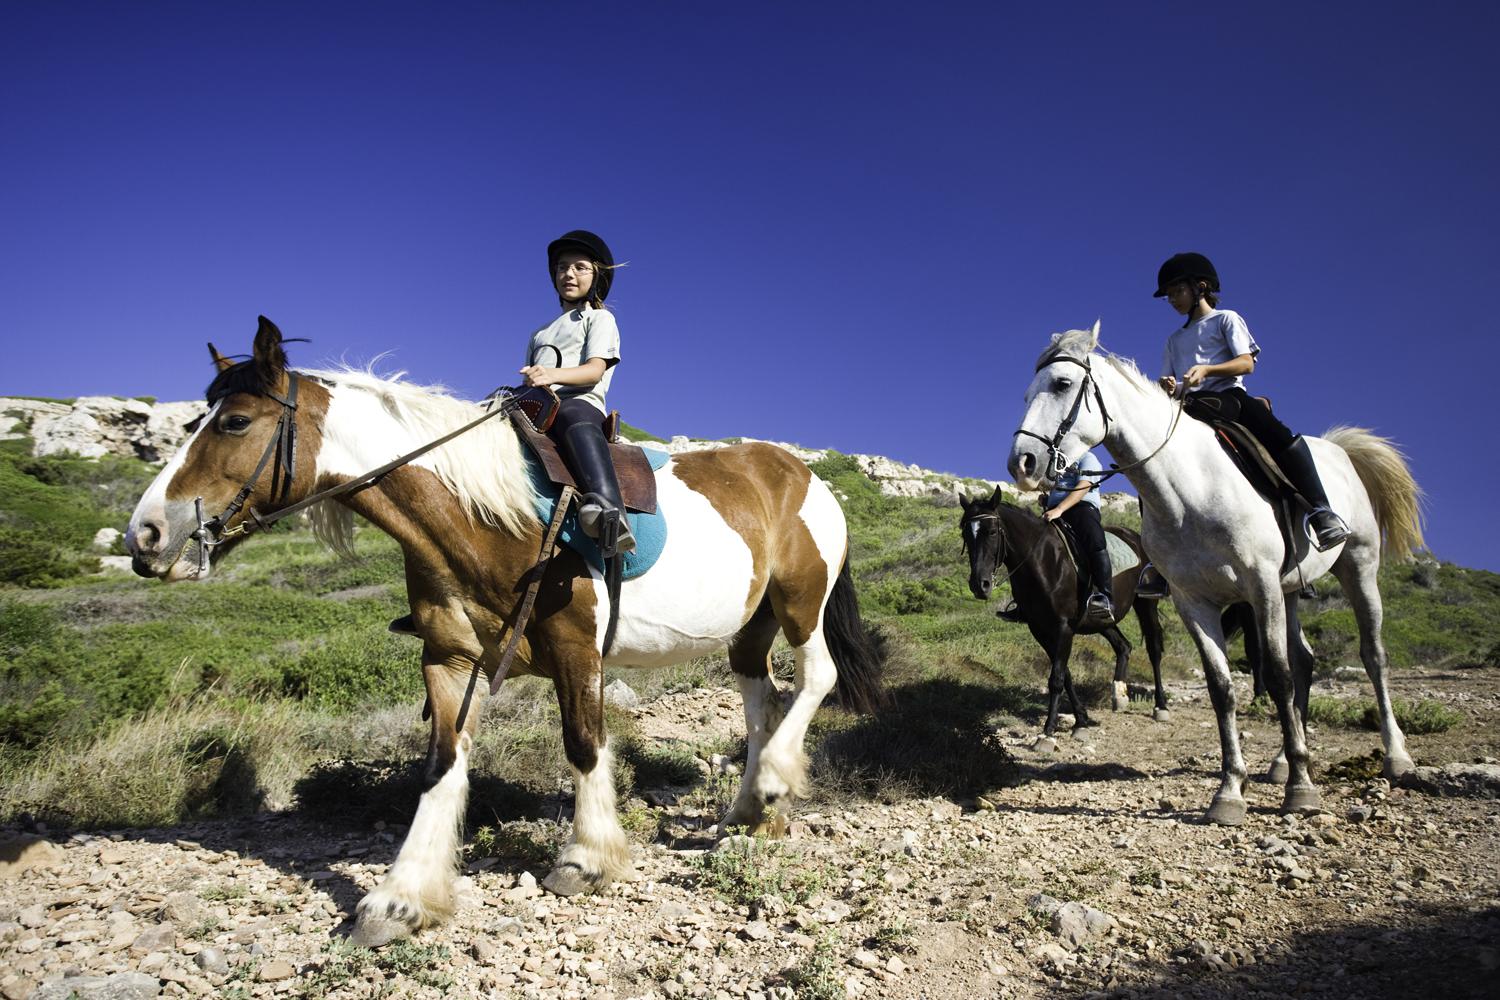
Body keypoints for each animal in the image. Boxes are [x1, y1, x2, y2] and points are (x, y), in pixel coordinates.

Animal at [960, 488, 1170, 746]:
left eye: (991, 532)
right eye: (965, 534)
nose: (979, 585)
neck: (1042, 559)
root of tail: (1134, 537)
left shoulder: (1063, 626)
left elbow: (1056, 678)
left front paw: (1047, 732)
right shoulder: (1040, 628)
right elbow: (1065, 674)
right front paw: (1081, 721)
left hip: (1145, 603)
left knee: (1153, 649)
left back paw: (1161, 707)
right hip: (1101, 619)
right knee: (1123, 646)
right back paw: (1119, 695)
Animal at [1008, 325, 1416, 827]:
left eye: (1062, 384)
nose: (1021, 464)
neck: (1190, 489)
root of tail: (1338, 450)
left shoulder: (1260, 587)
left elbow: (1276, 676)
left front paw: (1302, 791)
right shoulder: (1193, 601)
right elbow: (1222, 689)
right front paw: (1230, 791)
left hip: (1357, 567)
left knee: (1371, 656)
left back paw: (1395, 756)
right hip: (1291, 590)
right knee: (1305, 661)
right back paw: (1284, 761)